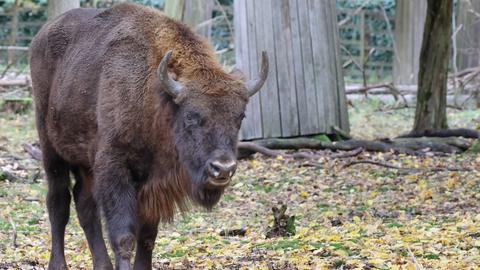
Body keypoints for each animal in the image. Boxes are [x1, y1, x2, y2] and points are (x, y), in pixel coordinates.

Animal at [30, 2, 268, 270]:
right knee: (58, 203)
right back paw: (58, 264)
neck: (157, 97)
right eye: (191, 116)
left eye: (240, 116)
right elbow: (124, 237)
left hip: (84, 162)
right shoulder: (114, 169)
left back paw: (102, 265)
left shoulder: (153, 184)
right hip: (51, 150)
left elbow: (147, 237)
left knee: (85, 205)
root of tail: (41, 35)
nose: (223, 168)